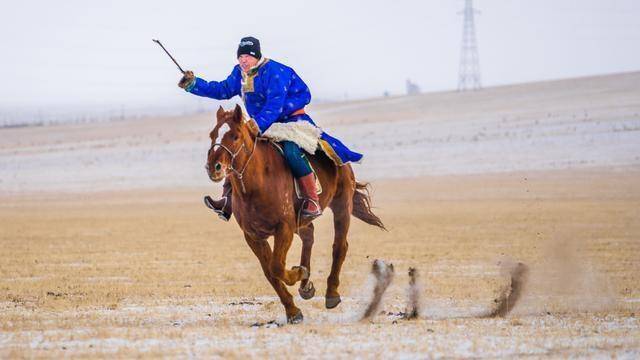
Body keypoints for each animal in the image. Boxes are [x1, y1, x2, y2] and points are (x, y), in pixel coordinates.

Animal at [206, 105, 384, 324]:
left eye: (235, 135)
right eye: (212, 134)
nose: (214, 167)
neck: (257, 185)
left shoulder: (284, 228)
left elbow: (276, 266)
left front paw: (298, 273)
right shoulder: (253, 236)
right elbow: (269, 272)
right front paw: (293, 311)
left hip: (342, 205)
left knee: (339, 246)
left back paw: (331, 292)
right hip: (301, 221)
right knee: (309, 236)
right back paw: (306, 286)